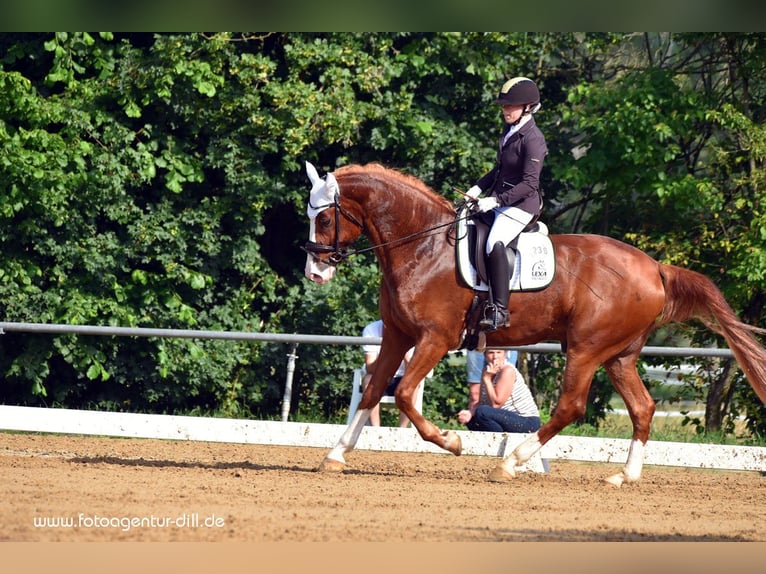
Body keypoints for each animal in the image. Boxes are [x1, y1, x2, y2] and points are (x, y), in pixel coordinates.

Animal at [304, 161, 766, 486]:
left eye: (324, 219)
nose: (315, 273)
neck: (423, 245)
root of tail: (655, 267)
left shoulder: (435, 339)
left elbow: (401, 395)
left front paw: (451, 441)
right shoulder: (398, 337)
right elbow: (372, 393)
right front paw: (335, 455)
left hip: (585, 349)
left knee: (570, 406)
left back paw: (512, 462)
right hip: (619, 355)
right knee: (642, 408)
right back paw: (623, 475)